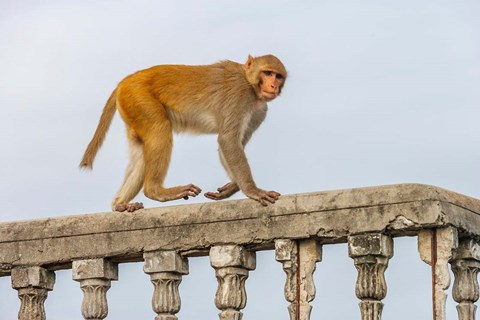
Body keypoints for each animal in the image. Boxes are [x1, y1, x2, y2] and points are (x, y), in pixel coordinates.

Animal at [80, 53, 286, 211]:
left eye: (278, 76)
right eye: (267, 73)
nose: (273, 86)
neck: (250, 84)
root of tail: (123, 82)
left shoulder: (259, 112)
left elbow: (232, 144)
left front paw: (232, 186)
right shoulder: (239, 96)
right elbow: (228, 140)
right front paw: (252, 190)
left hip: (132, 109)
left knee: (141, 153)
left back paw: (120, 204)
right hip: (139, 98)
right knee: (160, 128)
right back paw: (156, 191)